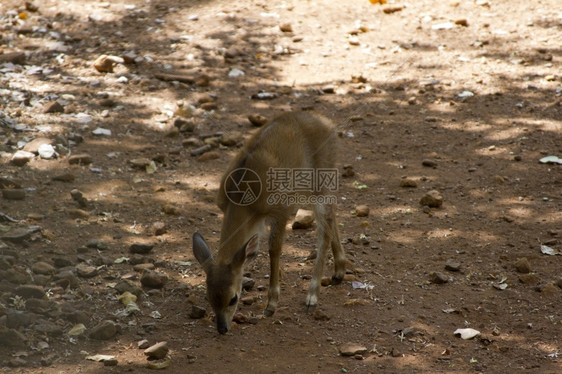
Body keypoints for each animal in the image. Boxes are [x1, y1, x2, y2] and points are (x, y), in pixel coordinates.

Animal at [191, 111, 346, 334]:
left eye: (233, 298)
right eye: (209, 297)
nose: (222, 328)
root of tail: (330, 125)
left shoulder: (280, 209)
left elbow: (274, 249)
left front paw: (271, 304)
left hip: (321, 182)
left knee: (324, 232)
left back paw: (312, 297)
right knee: (332, 216)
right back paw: (339, 271)